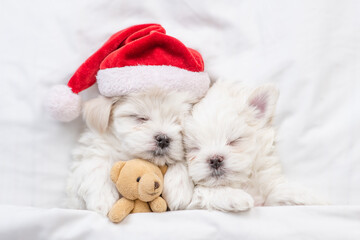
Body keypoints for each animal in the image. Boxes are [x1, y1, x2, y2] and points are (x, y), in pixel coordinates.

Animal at [64, 88, 194, 216]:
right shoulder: (93, 148)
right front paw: (102, 198)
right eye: (141, 118)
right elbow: (97, 161)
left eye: (179, 123)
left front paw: (179, 188)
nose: (163, 139)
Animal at [184, 81, 324, 212]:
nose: (215, 160)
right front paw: (236, 197)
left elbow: (277, 193)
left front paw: (309, 197)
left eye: (235, 140)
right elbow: (205, 190)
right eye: (194, 148)